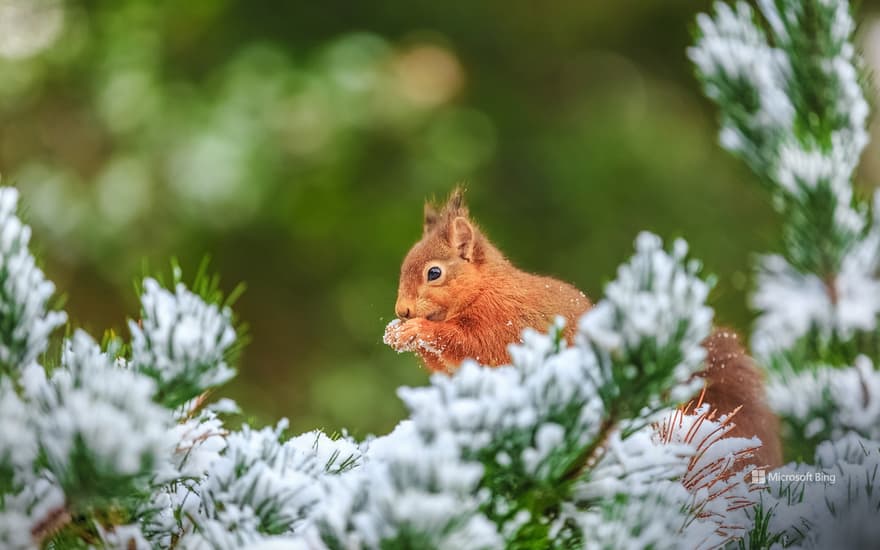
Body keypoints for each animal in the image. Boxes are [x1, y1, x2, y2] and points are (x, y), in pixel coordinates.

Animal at [384, 188, 781, 468]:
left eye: (434, 273)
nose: (402, 310)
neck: (484, 289)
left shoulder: (502, 324)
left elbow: (467, 343)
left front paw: (415, 331)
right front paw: (396, 332)